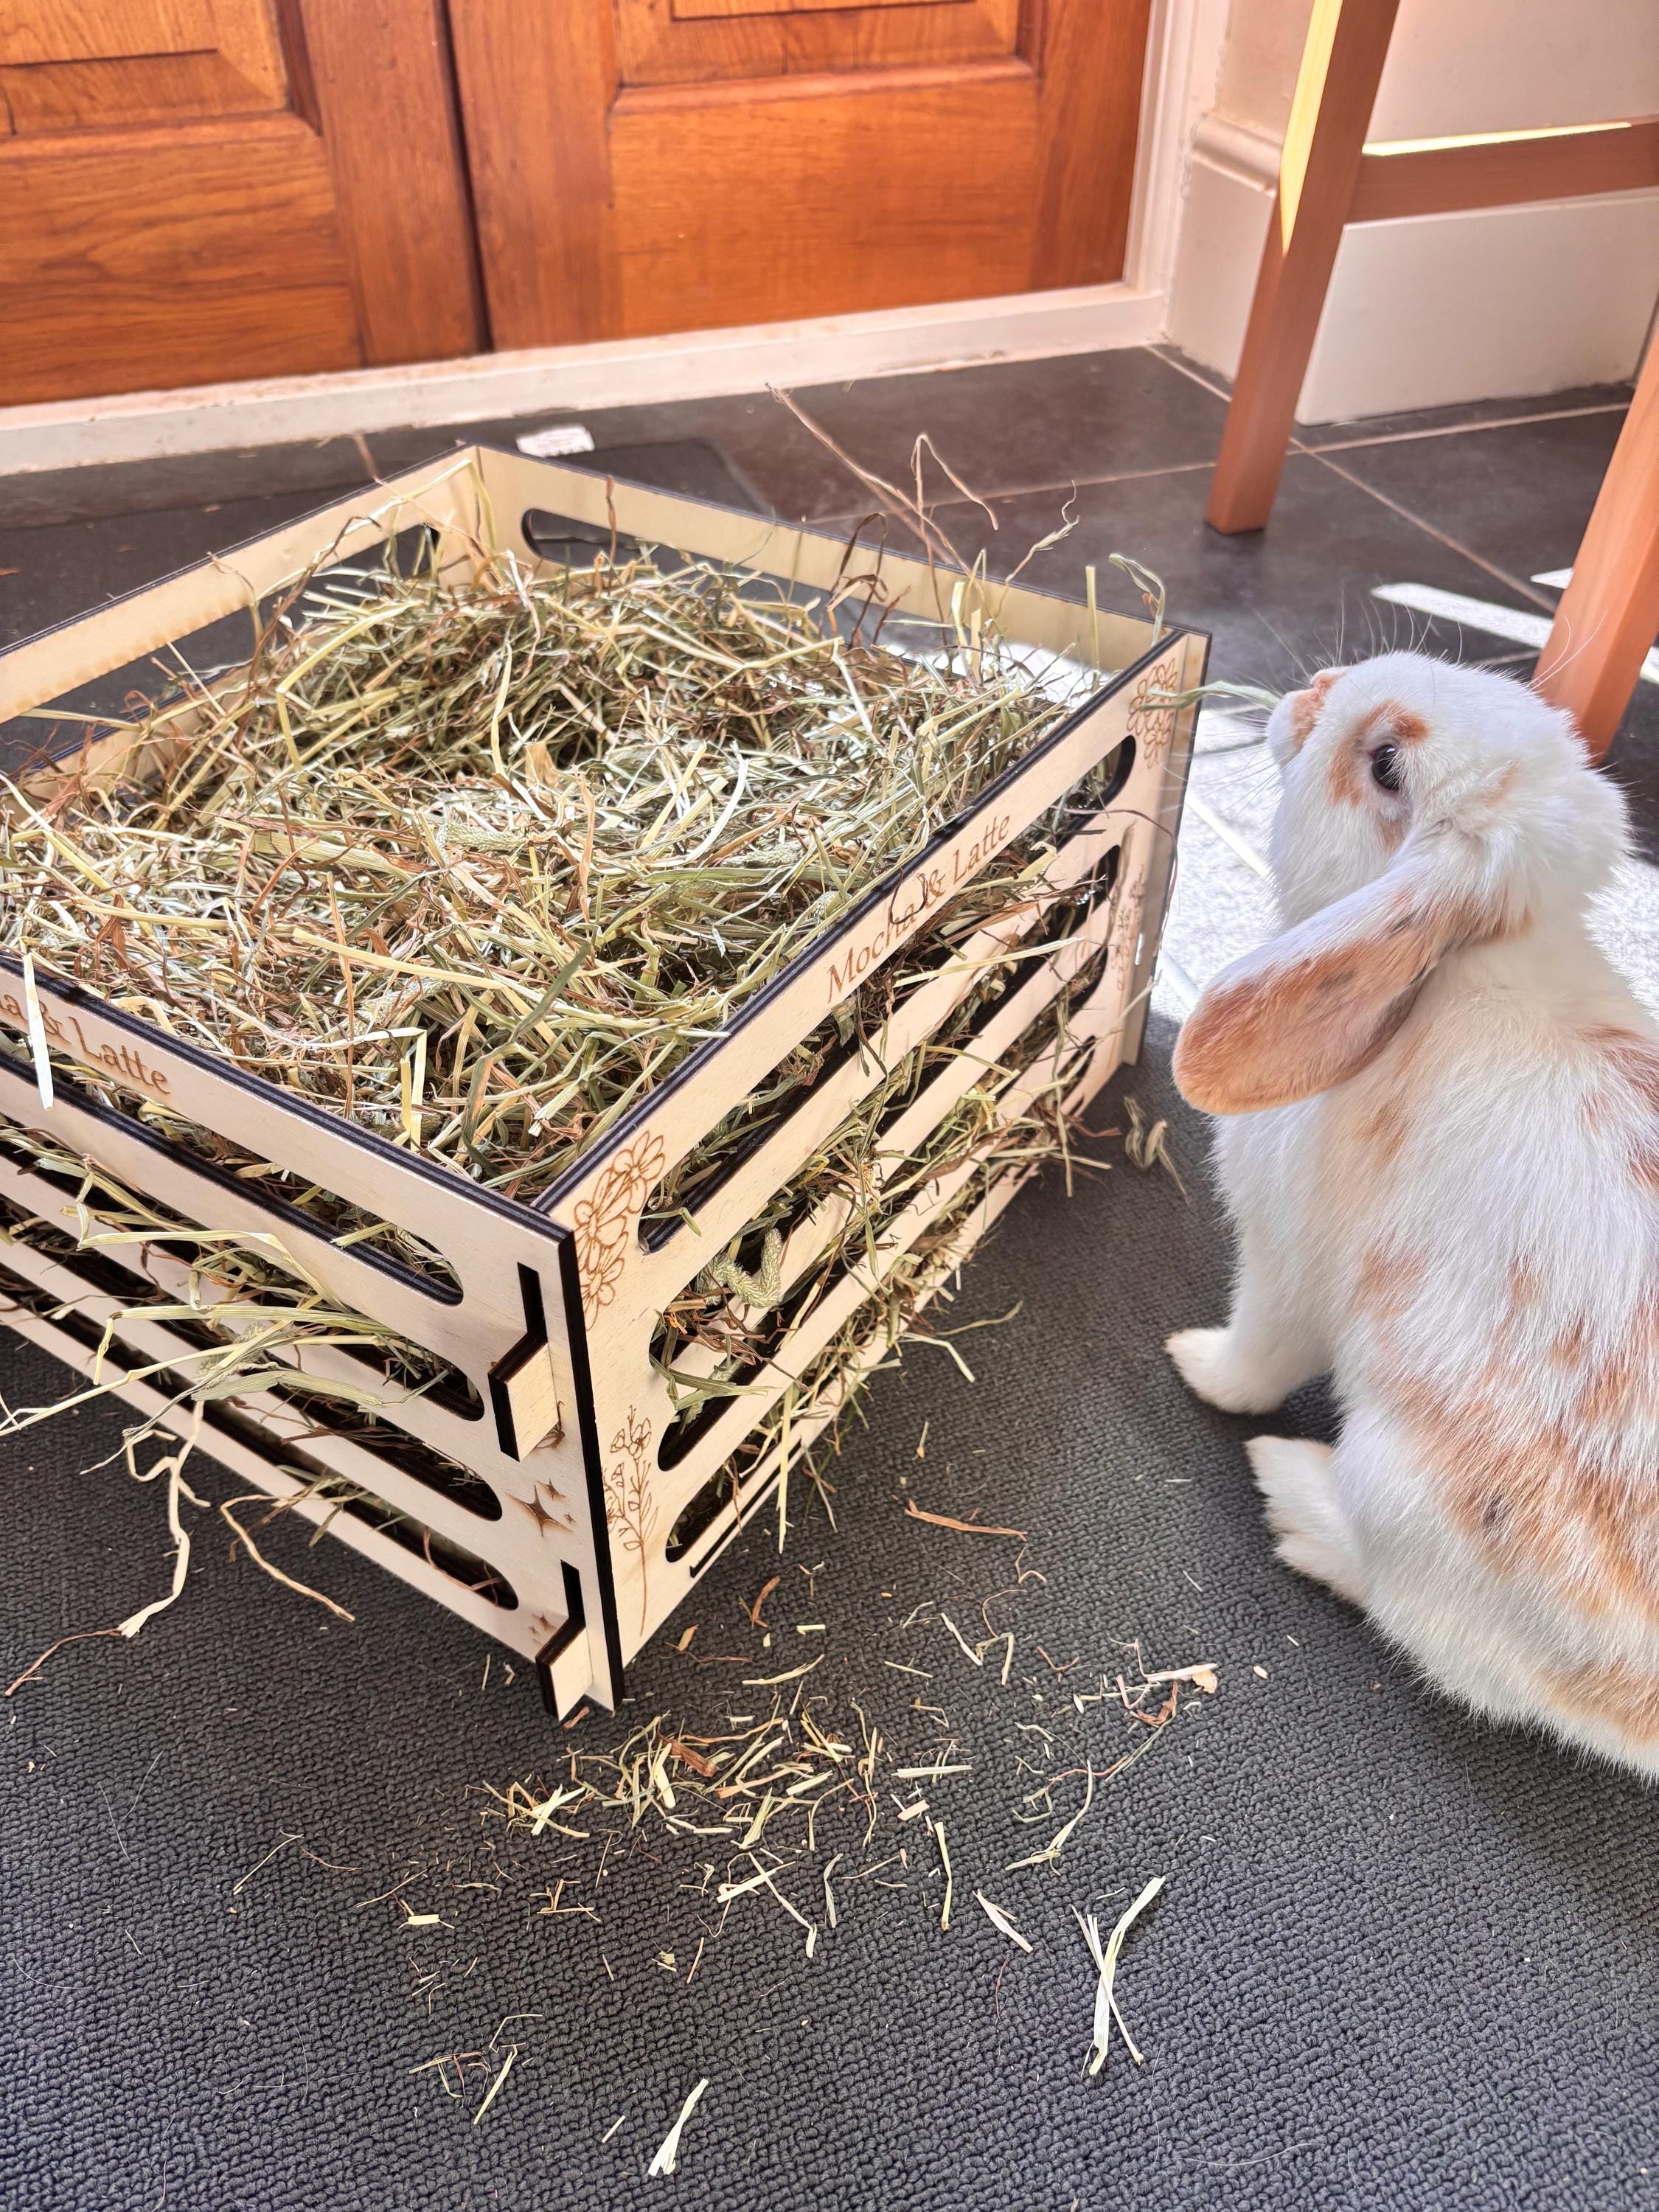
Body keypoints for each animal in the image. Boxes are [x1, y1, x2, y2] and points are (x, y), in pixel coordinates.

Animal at [1165, 651, 1659, 1778]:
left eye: (1385, 763)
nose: (1317, 682)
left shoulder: (1285, 1263)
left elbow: (1257, 1355)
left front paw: (1194, 1365)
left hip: (1409, 1489)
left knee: (1414, 1619)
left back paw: (1288, 1490)